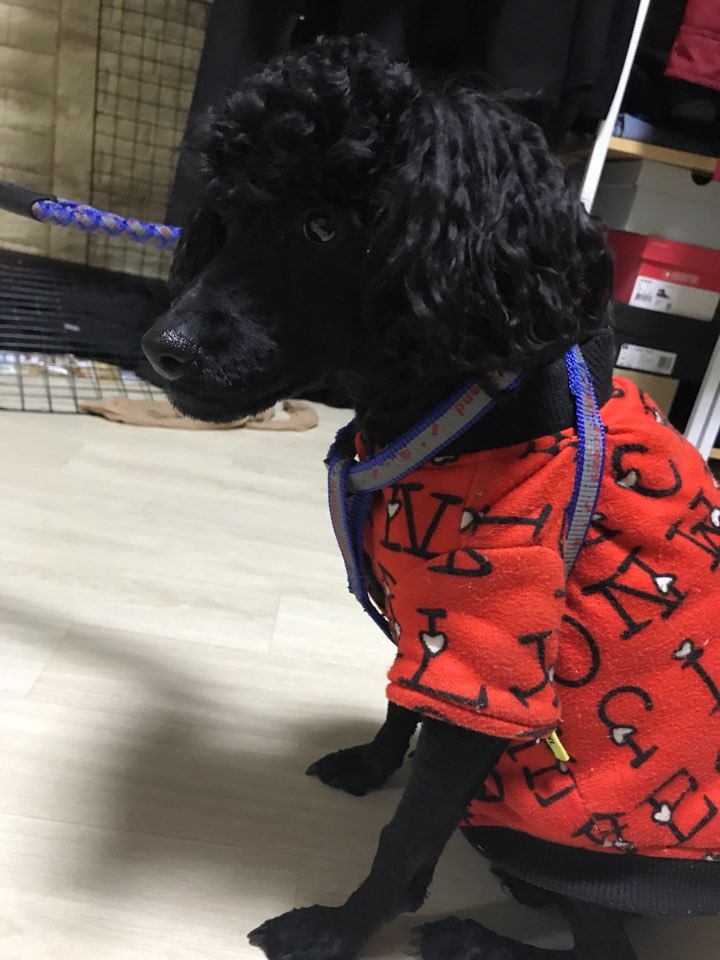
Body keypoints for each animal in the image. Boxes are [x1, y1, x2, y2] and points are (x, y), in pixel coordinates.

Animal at [142, 35, 720, 960]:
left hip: (571, 843)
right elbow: (395, 708)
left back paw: (473, 938)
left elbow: (406, 840)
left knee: (608, 948)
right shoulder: (431, 639)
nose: (162, 347)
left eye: (324, 226)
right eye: (227, 212)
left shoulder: (489, 659)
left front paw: (336, 932)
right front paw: (371, 767)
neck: (445, 411)